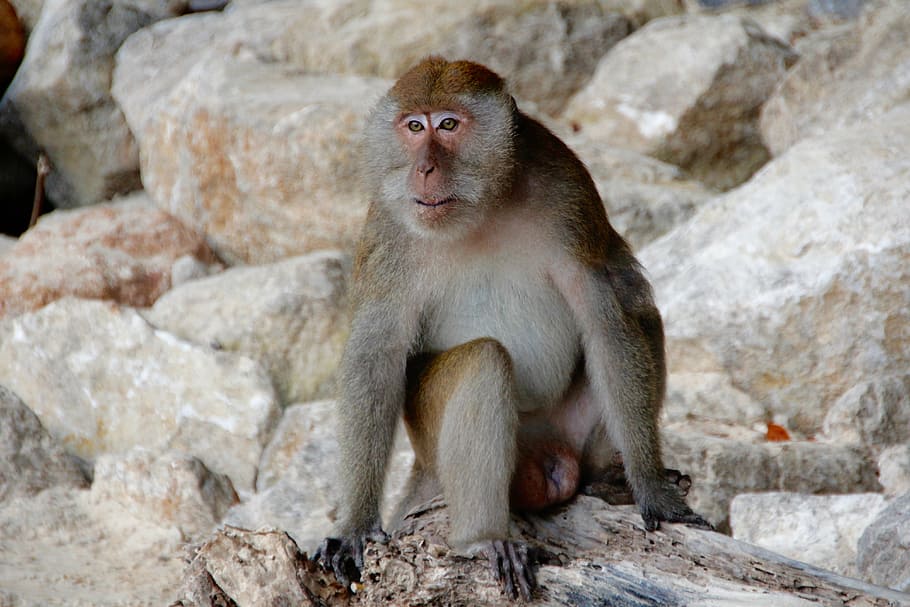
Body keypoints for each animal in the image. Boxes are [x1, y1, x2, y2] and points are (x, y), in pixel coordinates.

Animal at [314, 56, 710, 601]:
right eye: (414, 127)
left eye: (448, 125)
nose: (425, 168)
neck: (483, 206)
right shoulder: (389, 228)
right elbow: (377, 353)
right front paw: (354, 527)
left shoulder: (568, 194)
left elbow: (605, 319)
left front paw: (652, 489)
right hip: (437, 447)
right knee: (483, 361)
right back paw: (484, 538)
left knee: (639, 309)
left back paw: (603, 478)